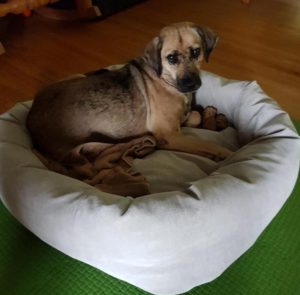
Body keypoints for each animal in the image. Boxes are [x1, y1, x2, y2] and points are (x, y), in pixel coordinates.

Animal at [26, 22, 232, 176]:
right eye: (171, 58)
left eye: (196, 52)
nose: (191, 84)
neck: (165, 80)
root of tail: (31, 116)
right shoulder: (170, 136)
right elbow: (207, 144)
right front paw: (225, 154)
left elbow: (194, 117)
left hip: (77, 76)